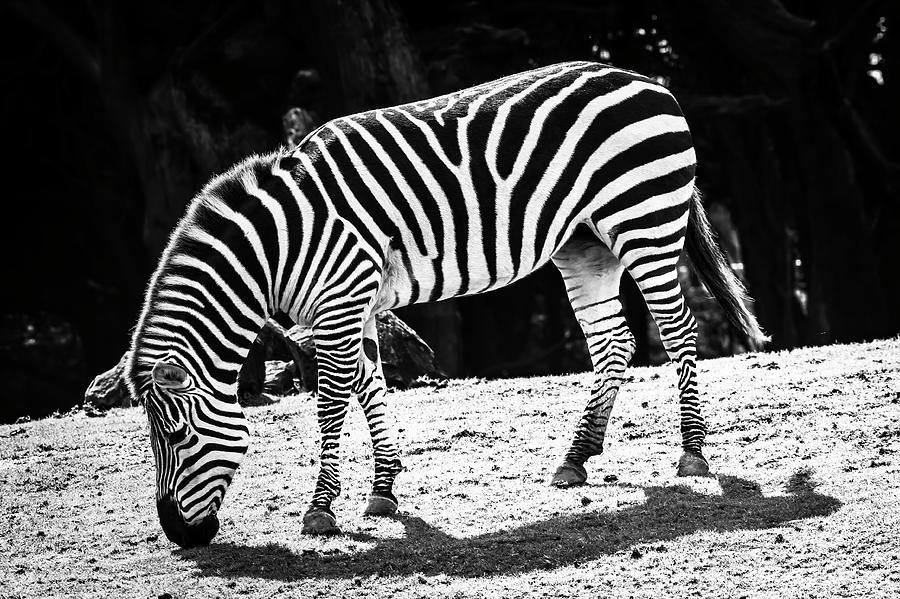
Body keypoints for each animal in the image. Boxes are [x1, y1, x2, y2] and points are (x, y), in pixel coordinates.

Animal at [121, 61, 768, 548]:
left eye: (176, 436)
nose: (177, 536)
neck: (284, 239)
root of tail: (647, 79)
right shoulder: (357, 302)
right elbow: (369, 388)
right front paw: (383, 490)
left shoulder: (340, 300)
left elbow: (332, 404)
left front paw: (322, 509)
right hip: (585, 243)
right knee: (615, 342)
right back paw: (577, 456)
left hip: (645, 219)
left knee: (679, 329)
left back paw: (691, 454)